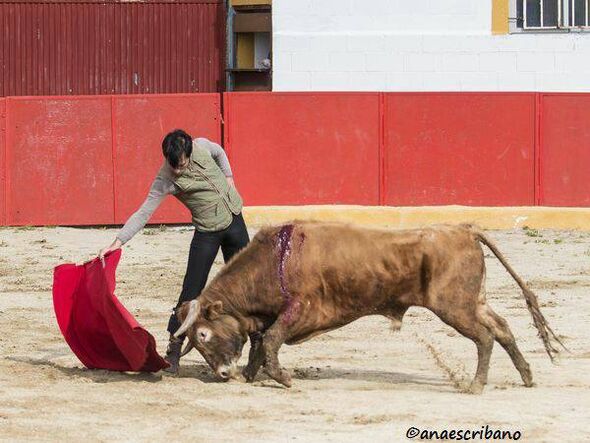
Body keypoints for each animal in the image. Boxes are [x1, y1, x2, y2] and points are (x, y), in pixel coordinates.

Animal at [175, 224, 564, 394]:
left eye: (204, 334)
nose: (222, 373)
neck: (274, 261)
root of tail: (464, 230)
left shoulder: (300, 308)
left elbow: (270, 340)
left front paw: (283, 379)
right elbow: (260, 344)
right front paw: (251, 375)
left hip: (455, 306)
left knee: (484, 336)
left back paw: (475, 385)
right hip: (472, 301)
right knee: (501, 327)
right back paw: (527, 376)